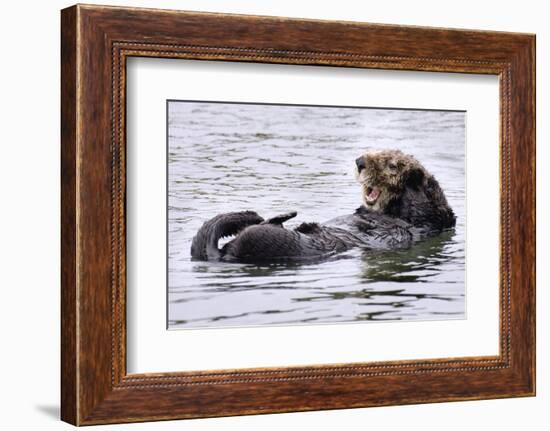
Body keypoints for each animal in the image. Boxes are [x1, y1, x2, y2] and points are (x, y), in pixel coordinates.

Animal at [190, 148, 458, 264]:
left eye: (389, 164)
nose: (360, 161)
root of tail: (223, 255)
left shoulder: (428, 221)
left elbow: (428, 205)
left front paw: (414, 175)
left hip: (272, 243)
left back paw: (281, 217)